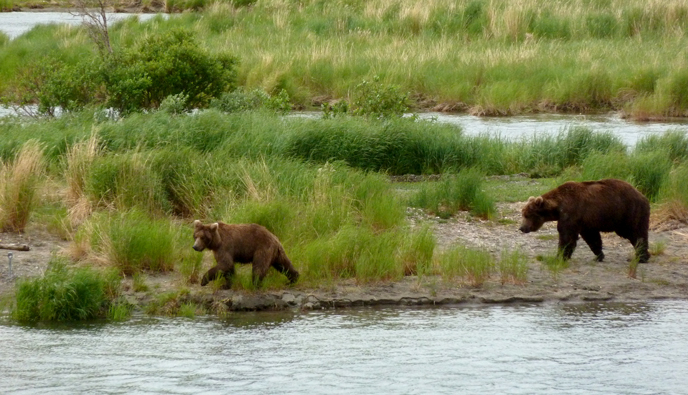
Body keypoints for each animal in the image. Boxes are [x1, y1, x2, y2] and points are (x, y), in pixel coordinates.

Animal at [520, 179, 652, 262]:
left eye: (527, 215)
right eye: (523, 214)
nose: (522, 228)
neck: (557, 207)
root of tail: (643, 196)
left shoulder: (570, 213)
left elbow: (566, 236)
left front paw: (559, 256)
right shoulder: (586, 222)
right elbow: (592, 238)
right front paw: (598, 255)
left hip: (628, 212)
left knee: (636, 232)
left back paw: (642, 257)